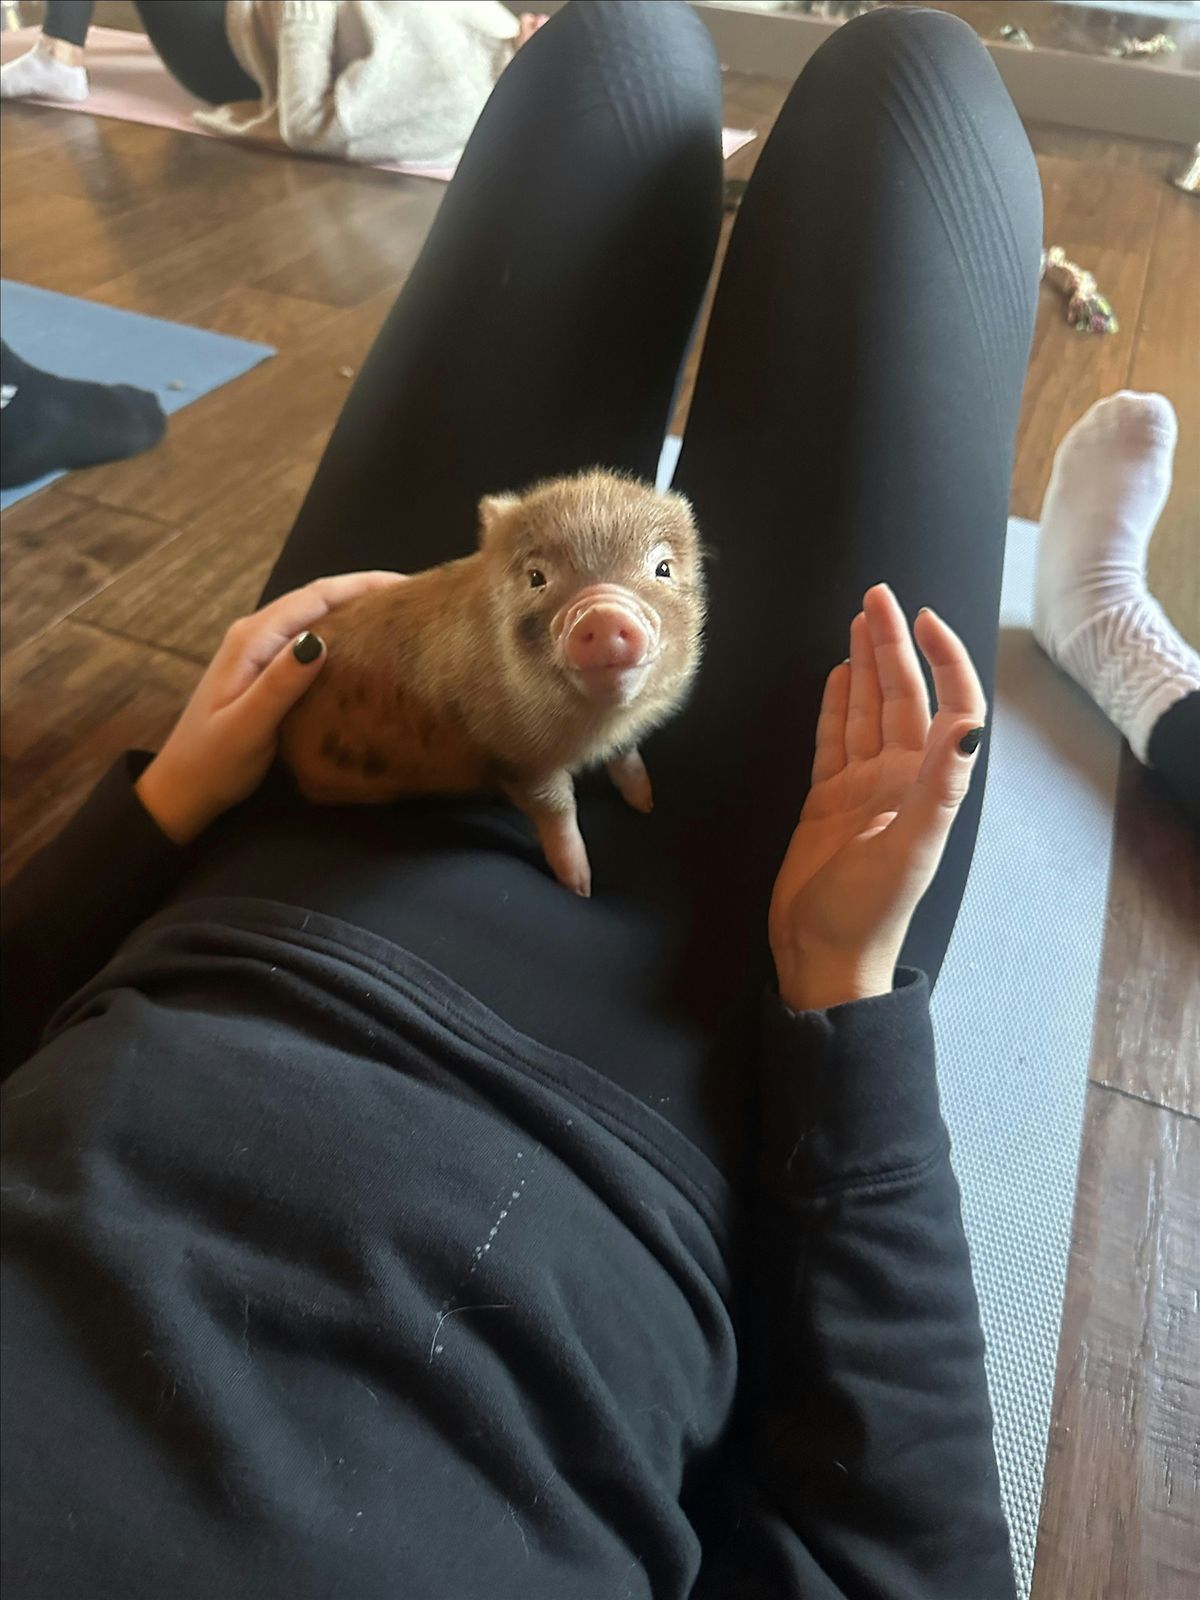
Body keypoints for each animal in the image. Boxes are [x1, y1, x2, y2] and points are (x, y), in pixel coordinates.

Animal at [278, 469, 706, 895]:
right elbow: (558, 810)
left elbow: (627, 757)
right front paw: (579, 887)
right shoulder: (514, 757)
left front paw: (645, 804)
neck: (596, 729)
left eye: (662, 568)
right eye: (536, 577)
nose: (602, 614)